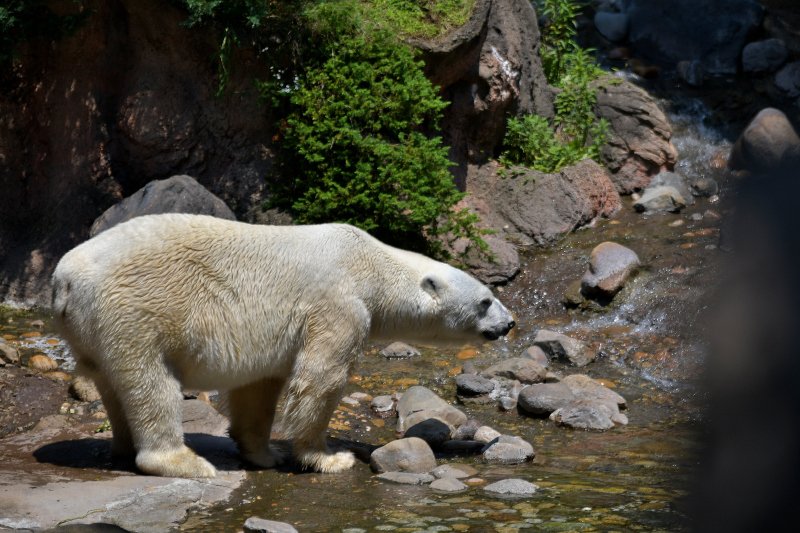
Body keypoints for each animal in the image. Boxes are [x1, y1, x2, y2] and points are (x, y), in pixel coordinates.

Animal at [51, 214, 512, 476]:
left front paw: (263, 453)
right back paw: (184, 462)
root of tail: (65, 277)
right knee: (151, 383)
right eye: (485, 300)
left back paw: (124, 446)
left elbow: (258, 388)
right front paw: (328, 458)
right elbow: (320, 381)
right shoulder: (338, 304)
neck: (371, 264)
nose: (509, 323)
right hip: (136, 311)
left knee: (112, 384)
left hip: (91, 328)